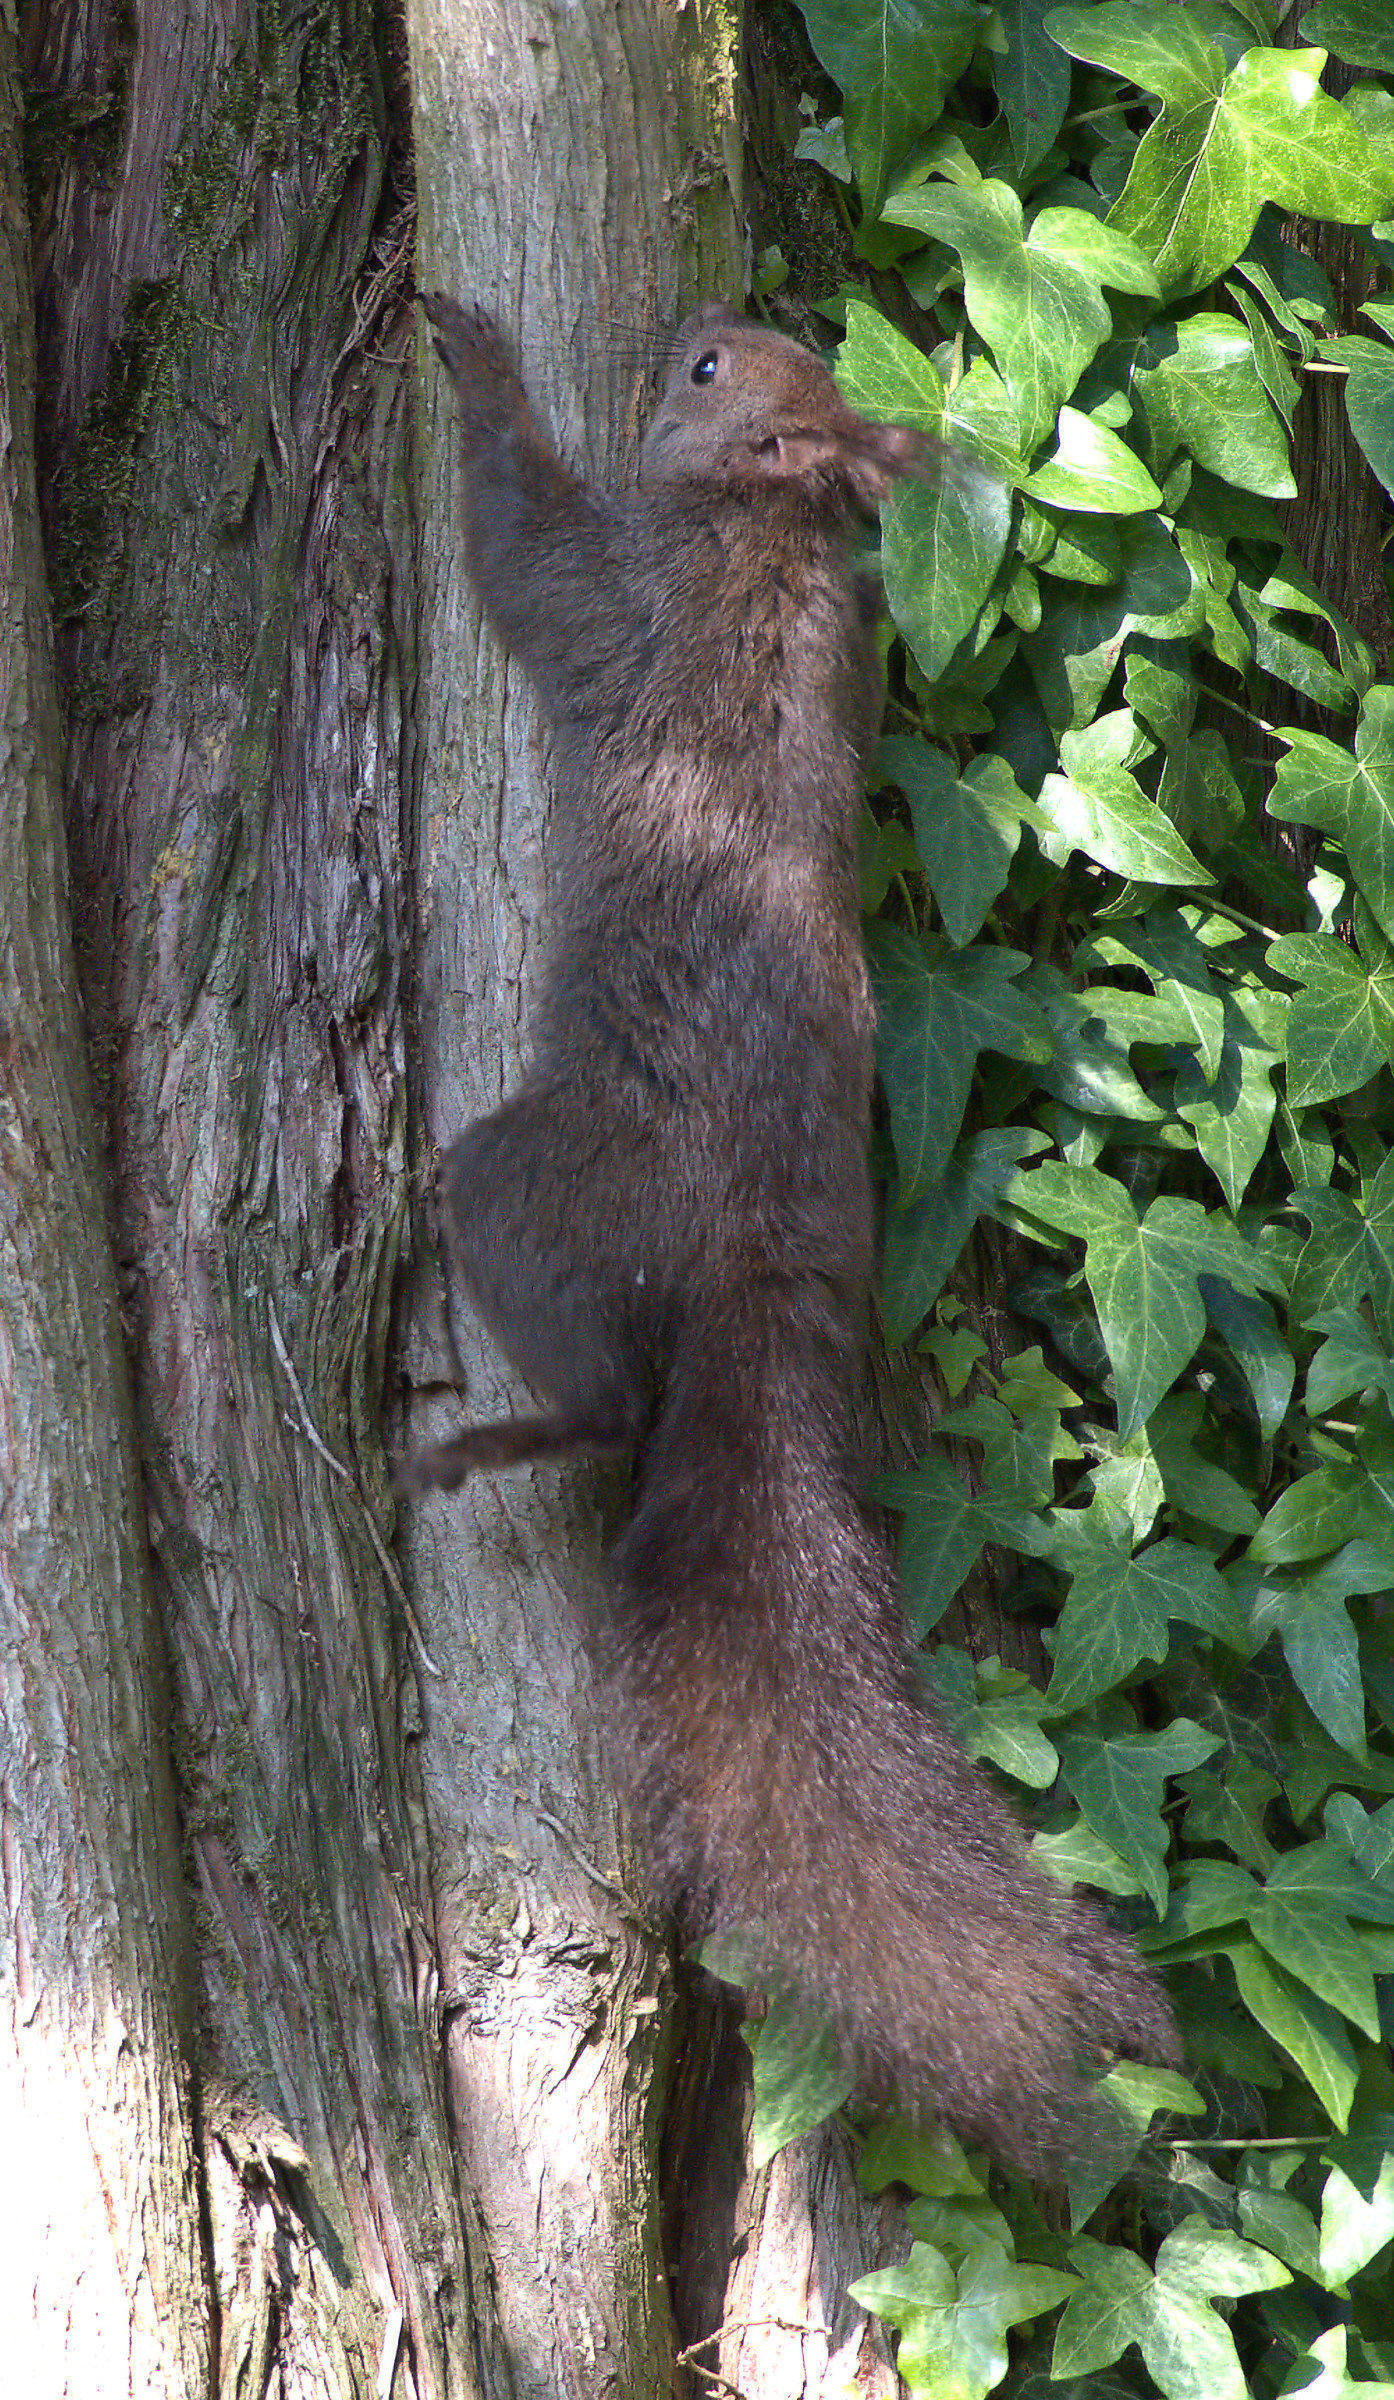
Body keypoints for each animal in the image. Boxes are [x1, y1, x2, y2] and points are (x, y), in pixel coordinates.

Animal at [407, 293, 1180, 2174]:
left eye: (707, 376)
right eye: (747, 346)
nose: (691, 323)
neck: (777, 528)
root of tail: (767, 1247)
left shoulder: (617, 595)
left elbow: (518, 538)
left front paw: (471, 357)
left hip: (545, 1182)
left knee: (603, 1388)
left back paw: (504, 1438)